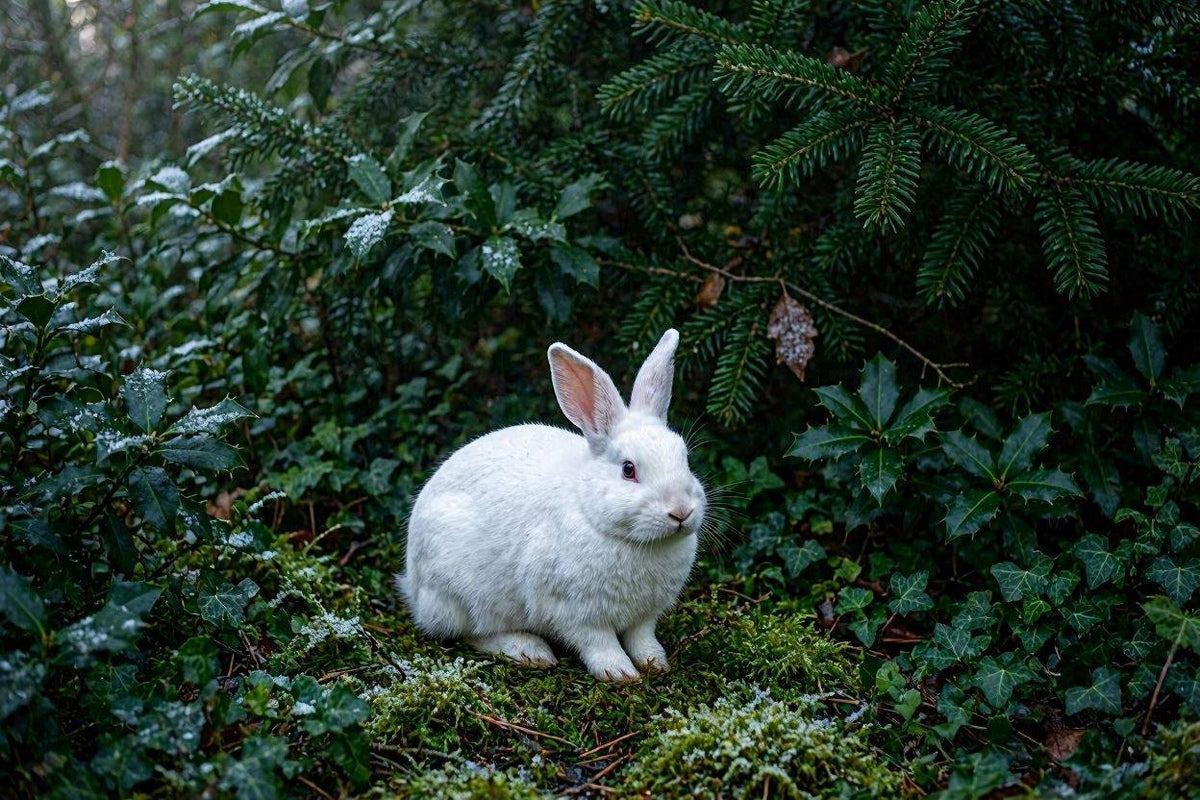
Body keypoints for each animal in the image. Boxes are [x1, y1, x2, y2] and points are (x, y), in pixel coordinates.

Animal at [398, 329, 705, 682]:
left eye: (685, 459)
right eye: (629, 469)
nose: (681, 511)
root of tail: (413, 587)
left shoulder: (645, 617)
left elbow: (642, 638)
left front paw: (655, 663)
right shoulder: (574, 612)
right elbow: (598, 642)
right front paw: (619, 673)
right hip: (461, 594)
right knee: (472, 633)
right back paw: (530, 651)